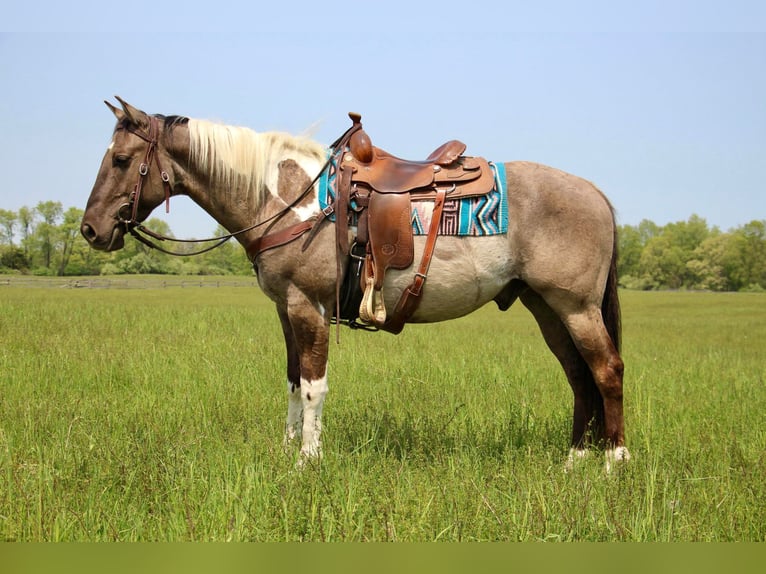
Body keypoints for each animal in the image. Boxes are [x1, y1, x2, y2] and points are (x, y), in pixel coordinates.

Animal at [81, 99, 632, 474]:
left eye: (121, 160)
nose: (90, 230)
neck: (288, 198)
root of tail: (596, 193)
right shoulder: (286, 309)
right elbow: (292, 380)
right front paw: (288, 448)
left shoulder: (309, 306)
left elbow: (314, 385)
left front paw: (308, 460)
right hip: (547, 308)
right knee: (579, 376)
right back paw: (575, 460)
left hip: (577, 307)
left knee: (606, 371)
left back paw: (615, 461)